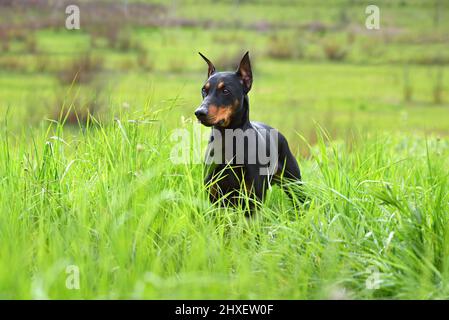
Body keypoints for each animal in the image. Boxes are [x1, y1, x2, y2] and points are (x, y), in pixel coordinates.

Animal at [194, 51, 302, 212]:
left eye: (225, 91)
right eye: (204, 90)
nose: (199, 113)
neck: (227, 140)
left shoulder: (253, 199)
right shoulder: (214, 199)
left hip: (295, 185)